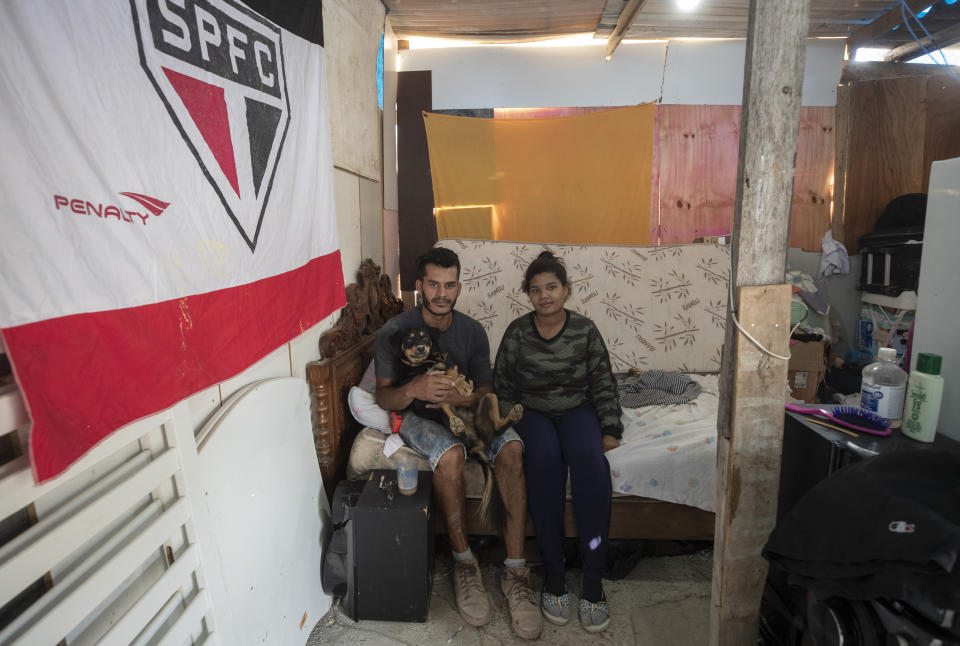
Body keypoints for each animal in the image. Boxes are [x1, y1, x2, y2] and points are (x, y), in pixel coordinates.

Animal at [394, 326, 520, 520]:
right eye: (409, 339)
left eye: (425, 338)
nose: (421, 348)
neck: (422, 363)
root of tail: (476, 442)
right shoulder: (422, 387)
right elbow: (446, 377)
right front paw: (462, 385)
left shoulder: (440, 371)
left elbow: (449, 373)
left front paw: (462, 384)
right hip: (444, 413)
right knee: (448, 410)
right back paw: (457, 425)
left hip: (489, 397)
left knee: (497, 427)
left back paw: (511, 415)